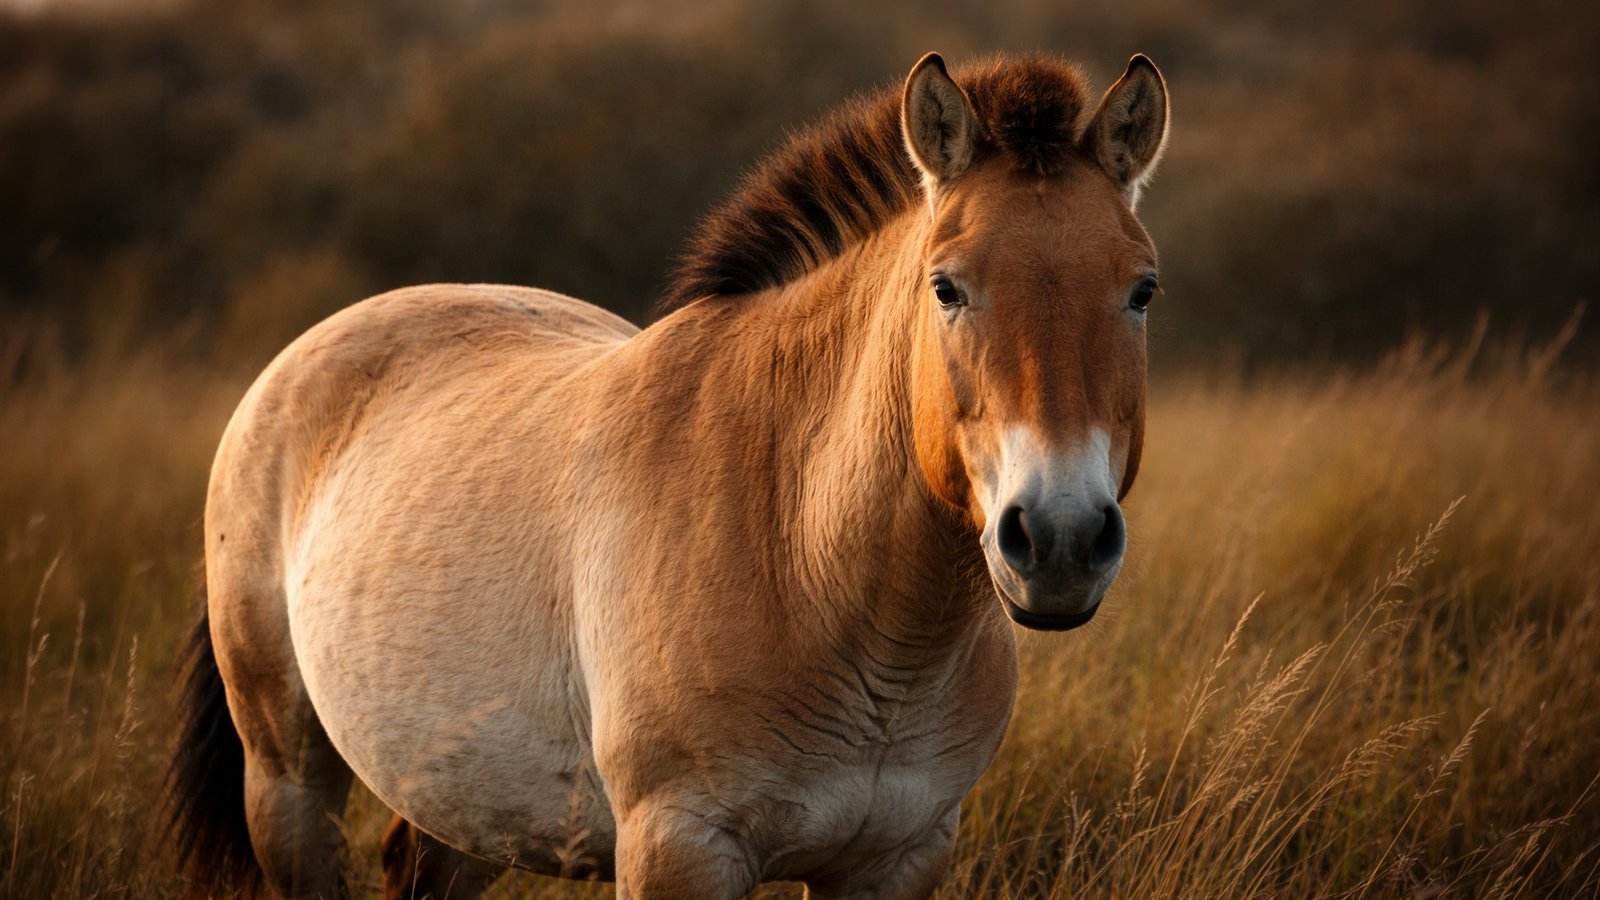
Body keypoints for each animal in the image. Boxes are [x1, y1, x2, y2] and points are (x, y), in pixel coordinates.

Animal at [166, 50, 1169, 898]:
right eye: (947, 287)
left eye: (1142, 290)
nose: (1061, 539)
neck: (801, 552)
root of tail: (300, 359)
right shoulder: (679, 846)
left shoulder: (899, 857)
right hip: (287, 779)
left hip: (459, 804)